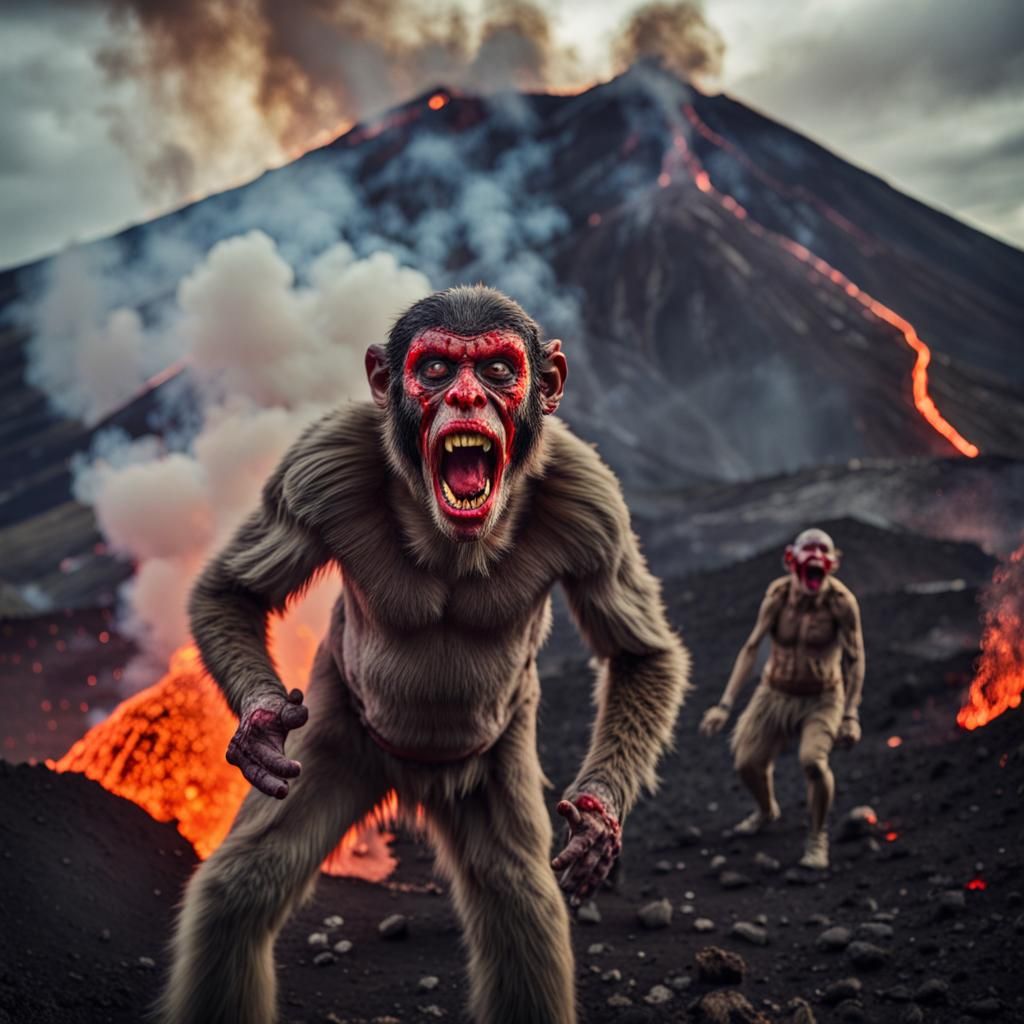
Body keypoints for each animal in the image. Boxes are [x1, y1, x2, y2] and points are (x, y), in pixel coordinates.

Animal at [155, 285, 691, 1024]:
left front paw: (597, 820)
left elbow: (640, 652)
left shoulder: (595, 504)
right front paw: (260, 726)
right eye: (434, 369)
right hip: (340, 741)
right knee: (240, 888)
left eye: (497, 370)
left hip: (486, 765)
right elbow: (234, 591)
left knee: (518, 897)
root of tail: (415, 782)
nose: (465, 399)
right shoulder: (316, 466)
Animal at [698, 528, 864, 870]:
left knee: (813, 767)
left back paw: (814, 848)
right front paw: (719, 714)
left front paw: (850, 725)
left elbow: (854, 656)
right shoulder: (771, 599)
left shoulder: (847, 607)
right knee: (748, 761)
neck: (807, 599)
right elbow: (752, 645)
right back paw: (763, 816)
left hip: (819, 709)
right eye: (810, 548)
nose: (818, 556)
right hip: (769, 711)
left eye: (824, 550)